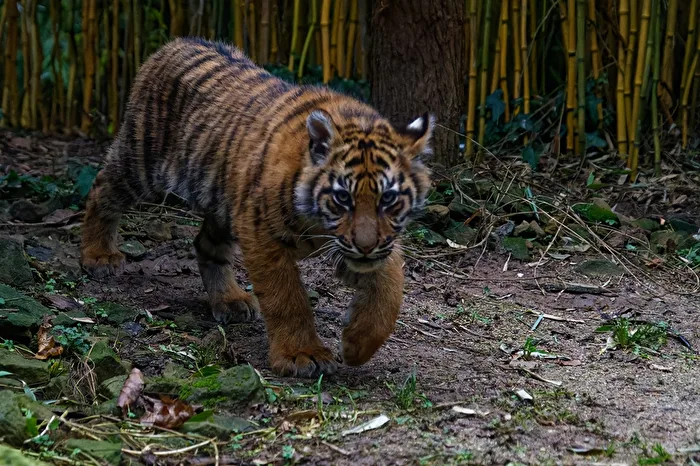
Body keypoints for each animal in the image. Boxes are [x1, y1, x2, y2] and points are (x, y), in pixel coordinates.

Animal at [80, 37, 434, 378]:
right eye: (343, 198)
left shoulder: (369, 245)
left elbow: (390, 287)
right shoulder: (261, 231)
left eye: (388, 199)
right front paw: (301, 355)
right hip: (142, 164)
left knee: (206, 245)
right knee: (101, 189)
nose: (365, 247)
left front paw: (357, 345)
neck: (321, 225)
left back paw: (230, 300)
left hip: (222, 200)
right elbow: (286, 297)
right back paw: (98, 256)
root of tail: (173, 44)